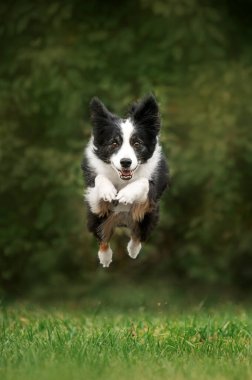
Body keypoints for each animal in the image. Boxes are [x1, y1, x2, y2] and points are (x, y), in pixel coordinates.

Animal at [82, 94, 169, 268]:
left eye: (137, 143)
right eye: (114, 143)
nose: (126, 162)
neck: (122, 178)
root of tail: (121, 223)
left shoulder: (152, 194)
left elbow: (144, 182)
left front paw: (125, 195)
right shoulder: (94, 201)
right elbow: (99, 179)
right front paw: (108, 191)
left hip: (149, 216)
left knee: (138, 235)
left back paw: (133, 250)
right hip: (95, 220)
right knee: (103, 239)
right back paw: (105, 258)